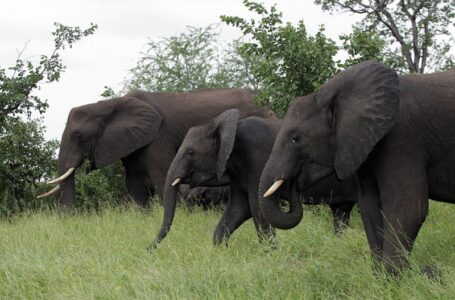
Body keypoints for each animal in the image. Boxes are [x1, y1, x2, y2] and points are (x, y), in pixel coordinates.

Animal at [39, 88, 272, 210]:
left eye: (79, 136)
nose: (71, 217)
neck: (111, 104)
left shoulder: (159, 138)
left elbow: (163, 180)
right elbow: (135, 188)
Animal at [155, 109, 358, 246]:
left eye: (190, 153)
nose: (150, 249)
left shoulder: (257, 160)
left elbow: (257, 208)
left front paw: (271, 257)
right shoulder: (238, 171)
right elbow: (238, 208)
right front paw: (220, 250)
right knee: (341, 212)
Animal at [260, 61, 455, 274]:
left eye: (295, 139)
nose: (291, 183)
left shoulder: (403, 140)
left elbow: (408, 208)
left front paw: (401, 276)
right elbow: (369, 207)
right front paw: (381, 277)